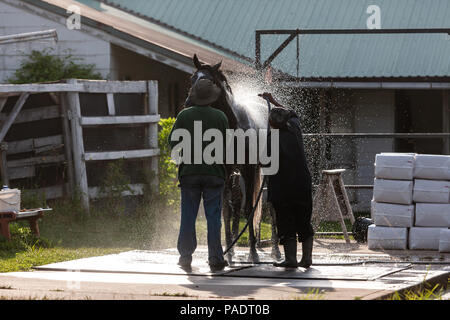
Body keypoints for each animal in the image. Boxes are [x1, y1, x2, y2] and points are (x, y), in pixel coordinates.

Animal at [185, 55, 278, 264]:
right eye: (192, 78)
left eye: (209, 80)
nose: (187, 103)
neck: (235, 125)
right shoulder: (226, 172)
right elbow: (226, 212)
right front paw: (227, 253)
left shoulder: (250, 169)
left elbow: (249, 209)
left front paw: (253, 253)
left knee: (271, 206)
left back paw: (276, 251)